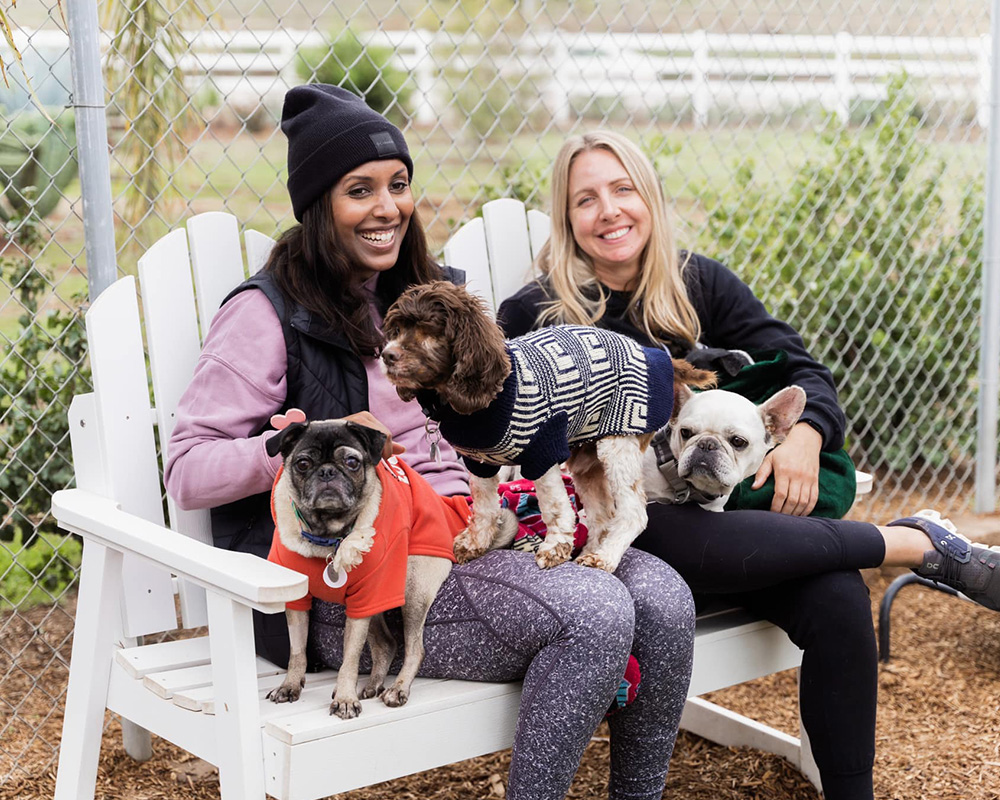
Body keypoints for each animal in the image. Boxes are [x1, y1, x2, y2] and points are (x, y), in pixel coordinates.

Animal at [378, 284, 716, 572]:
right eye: (397, 329)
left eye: (429, 330)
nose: (386, 354)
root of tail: (656, 355)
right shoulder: (479, 462)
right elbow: (484, 505)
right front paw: (476, 541)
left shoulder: (542, 449)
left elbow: (554, 506)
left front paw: (554, 548)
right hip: (586, 461)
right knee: (601, 515)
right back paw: (591, 551)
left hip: (618, 443)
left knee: (632, 511)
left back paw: (604, 558)